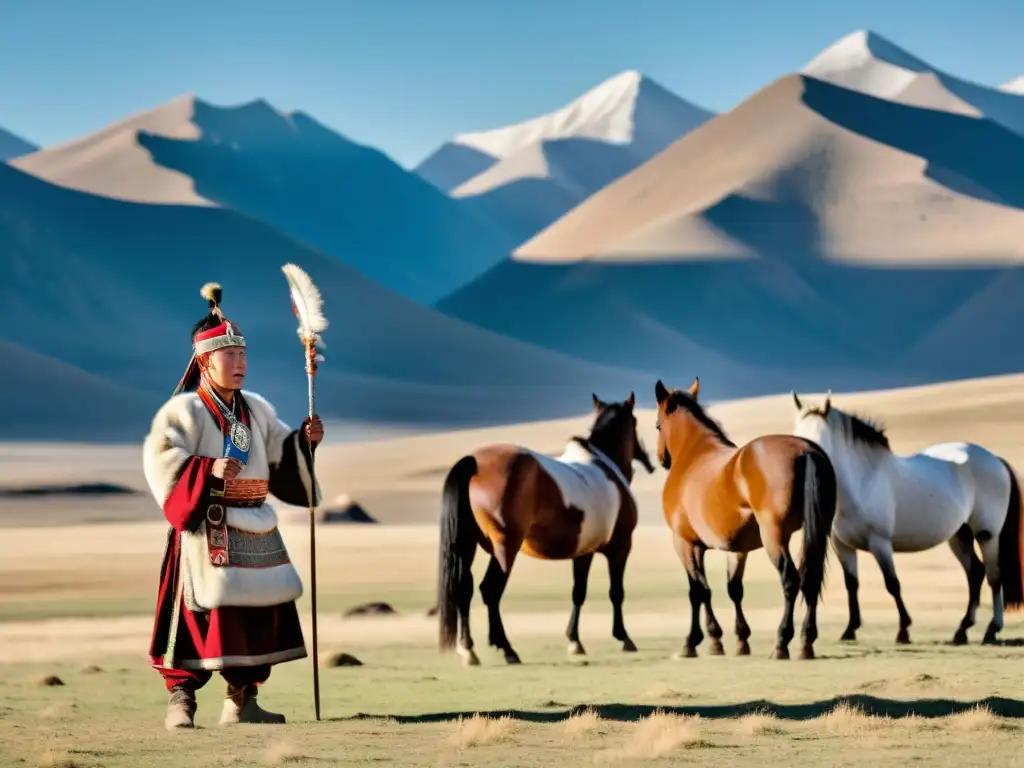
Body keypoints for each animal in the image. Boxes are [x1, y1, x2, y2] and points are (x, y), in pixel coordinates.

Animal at [436, 393, 651, 663]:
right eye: (635, 423)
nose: (649, 461)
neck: (603, 466)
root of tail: (474, 463)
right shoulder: (621, 547)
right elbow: (616, 592)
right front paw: (623, 637)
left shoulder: (584, 552)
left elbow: (578, 591)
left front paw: (575, 641)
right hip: (506, 548)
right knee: (490, 590)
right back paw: (507, 649)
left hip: (467, 546)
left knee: (465, 589)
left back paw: (468, 650)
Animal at [655, 378, 839, 663]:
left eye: (657, 425)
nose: (661, 459)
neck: (695, 456)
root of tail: (806, 450)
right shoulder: (736, 549)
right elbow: (733, 588)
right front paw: (739, 639)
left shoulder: (685, 544)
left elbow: (698, 590)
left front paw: (696, 641)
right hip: (819, 532)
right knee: (811, 581)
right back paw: (806, 642)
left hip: (774, 536)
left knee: (790, 580)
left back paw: (782, 642)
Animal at [790, 393, 1024, 647]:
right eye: (795, 434)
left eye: (818, 440)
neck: (862, 483)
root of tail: (996, 460)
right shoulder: (842, 545)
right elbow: (852, 584)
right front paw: (850, 629)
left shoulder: (880, 543)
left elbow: (892, 583)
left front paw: (903, 630)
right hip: (959, 536)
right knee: (975, 573)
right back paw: (962, 630)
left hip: (987, 534)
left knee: (994, 576)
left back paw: (992, 629)